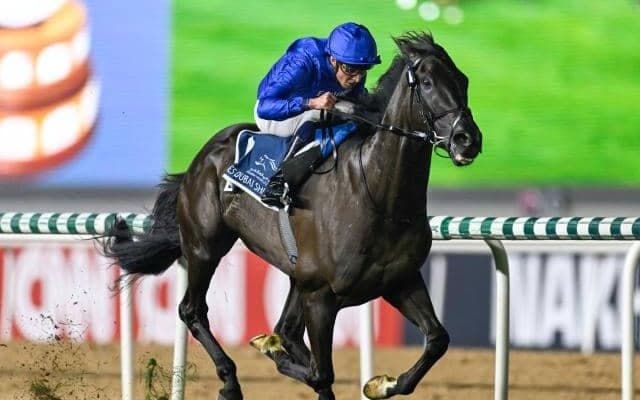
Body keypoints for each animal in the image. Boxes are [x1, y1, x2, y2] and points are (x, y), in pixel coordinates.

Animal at [103, 31, 483, 400]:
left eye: (463, 80)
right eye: (427, 82)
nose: (468, 139)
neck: (379, 197)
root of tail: (203, 155)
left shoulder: (400, 281)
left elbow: (437, 340)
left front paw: (381, 384)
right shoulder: (321, 295)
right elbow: (321, 374)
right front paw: (275, 354)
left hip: (294, 274)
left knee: (285, 330)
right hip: (205, 246)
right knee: (192, 310)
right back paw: (231, 380)